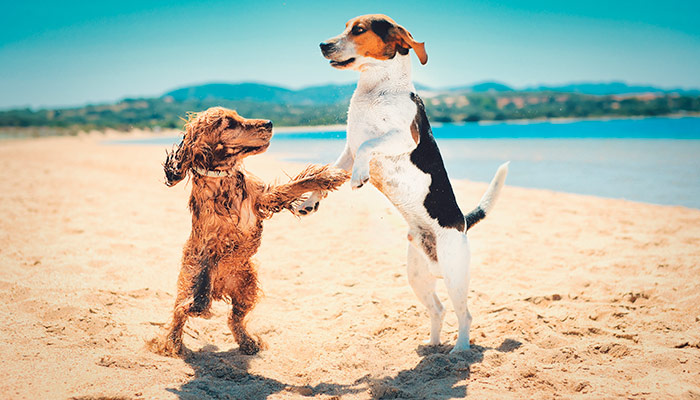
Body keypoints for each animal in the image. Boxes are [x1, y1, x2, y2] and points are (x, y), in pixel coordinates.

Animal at [151, 107, 350, 356]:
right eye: (229, 124)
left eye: (238, 116)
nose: (270, 122)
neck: (223, 179)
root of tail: (221, 288)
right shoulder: (208, 243)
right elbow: (203, 279)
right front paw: (198, 304)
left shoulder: (263, 197)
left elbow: (297, 185)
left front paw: (328, 177)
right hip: (191, 281)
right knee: (179, 312)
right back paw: (173, 342)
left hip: (247, 288)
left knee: (234, 319)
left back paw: (247, 342)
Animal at [294, 14, 508, 354]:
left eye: (358, 30)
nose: (323, 45)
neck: (376, 89)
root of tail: (462, 222)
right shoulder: (347, 151)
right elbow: (326, 178)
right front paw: (308, 202)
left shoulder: (400, 139)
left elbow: (369, 146)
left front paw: (359, 176)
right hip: (417, 277)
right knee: (439, 310)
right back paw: (432, 346)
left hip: (455, 275)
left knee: (465, 314)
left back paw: (459, 350)